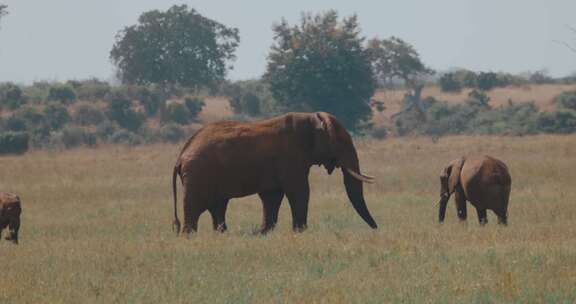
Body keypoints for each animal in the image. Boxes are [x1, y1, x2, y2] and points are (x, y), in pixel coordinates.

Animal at [171, 111, 378, 235]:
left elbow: (272, 196)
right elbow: (299, 192)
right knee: (195, 208)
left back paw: (222, 234)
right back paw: (190, 236)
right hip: (198, 175)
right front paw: (300, 232)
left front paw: (262, 232)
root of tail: (180, 156)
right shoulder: (291, 159)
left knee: (218, 207)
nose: (376, 229)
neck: (311, 117)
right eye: (341, 141)